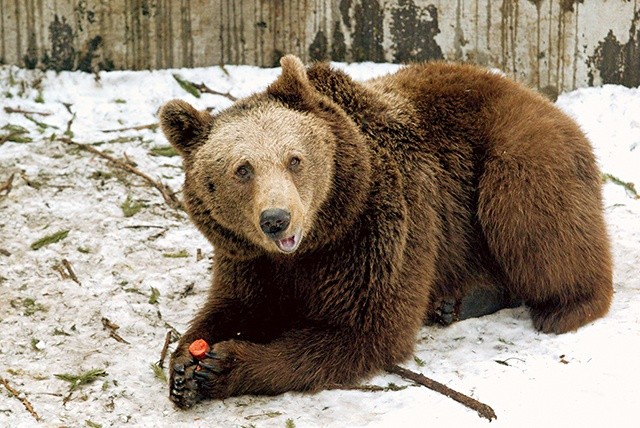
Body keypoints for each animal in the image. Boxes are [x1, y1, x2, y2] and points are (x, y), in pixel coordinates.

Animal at [158, 54, 612, 408]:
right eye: (242, 169)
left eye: (294, 159)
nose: (276, 219)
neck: (321, 234)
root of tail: (540, 98)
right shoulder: (250, 258)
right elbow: (235, 305)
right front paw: (183, 368)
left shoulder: (377, 229)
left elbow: (364, 329)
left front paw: (223, 365)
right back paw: (459, 301)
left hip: (515, 157)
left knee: (531, 224)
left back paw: (565, 306)